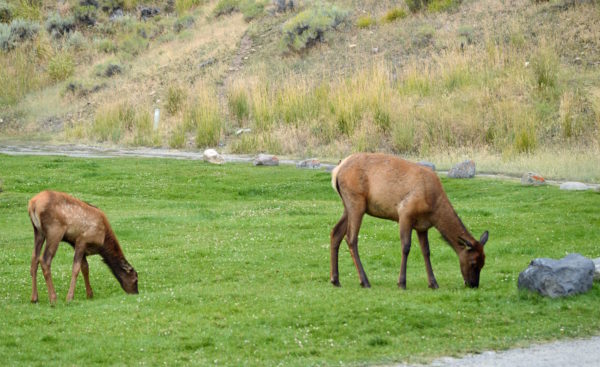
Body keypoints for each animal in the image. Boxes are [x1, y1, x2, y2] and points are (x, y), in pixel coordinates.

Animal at [330, 153, 490, 290]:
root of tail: (336, 171)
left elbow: (426, 251)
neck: (434, 209)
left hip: (347, 206)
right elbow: (406, 247)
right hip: (356, 201)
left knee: (335, 232)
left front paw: (433, 283)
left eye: (484, 262)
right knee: (351, 238)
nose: (473, 285)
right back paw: (364, 281)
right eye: (473, 262)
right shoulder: (405, 214)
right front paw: (401, 283)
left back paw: (335, 280)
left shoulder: (422, 226)